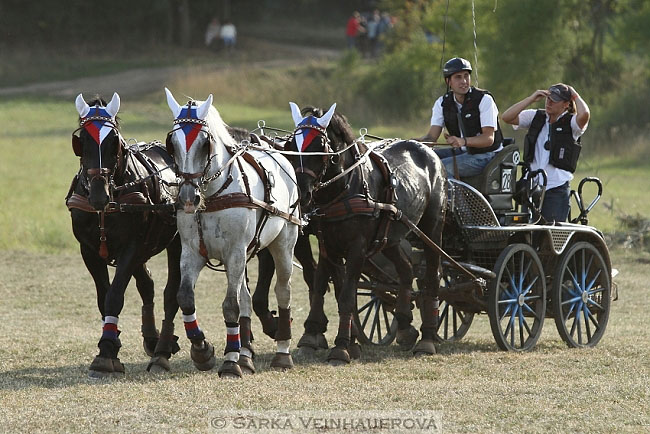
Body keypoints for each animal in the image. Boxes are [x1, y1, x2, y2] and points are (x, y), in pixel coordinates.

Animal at [66, 94, 181, 376]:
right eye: (82, 141)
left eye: (114, 142)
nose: (99, 195)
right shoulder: (89, 251)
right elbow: (103, 297)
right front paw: (111, 343)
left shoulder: (131, 247)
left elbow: (115, 296)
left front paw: (107, 349)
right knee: (147, 285)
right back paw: (152, 338)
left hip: (175, 243)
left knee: (172, 292)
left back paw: (163, 349)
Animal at [165, 88, 302, 376]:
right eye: (173, 143)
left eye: (205, 143)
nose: (188, 198)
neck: (212, 195)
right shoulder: (192, 252)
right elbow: (185, 297)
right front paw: (202, 350)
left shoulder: (235, 252)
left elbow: (230, 306)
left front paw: (229, 361)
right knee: (246, 298)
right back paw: (246, 354)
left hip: (283, 243)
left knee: (283, 290)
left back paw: (282, 353)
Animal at [284, 103, 446, 364]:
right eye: (290, 146)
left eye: (318, 146)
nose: (301, 192)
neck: (344, 189)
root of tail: (429, 152)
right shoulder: (328, 244)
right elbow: (321, 286)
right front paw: (312, 335)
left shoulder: (357, 248)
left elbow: (347, 295)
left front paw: (341, 347)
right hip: (390, 238)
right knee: (406, 269)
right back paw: (404, 326)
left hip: (432, 229)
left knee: (432, 275)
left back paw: (428, 338)